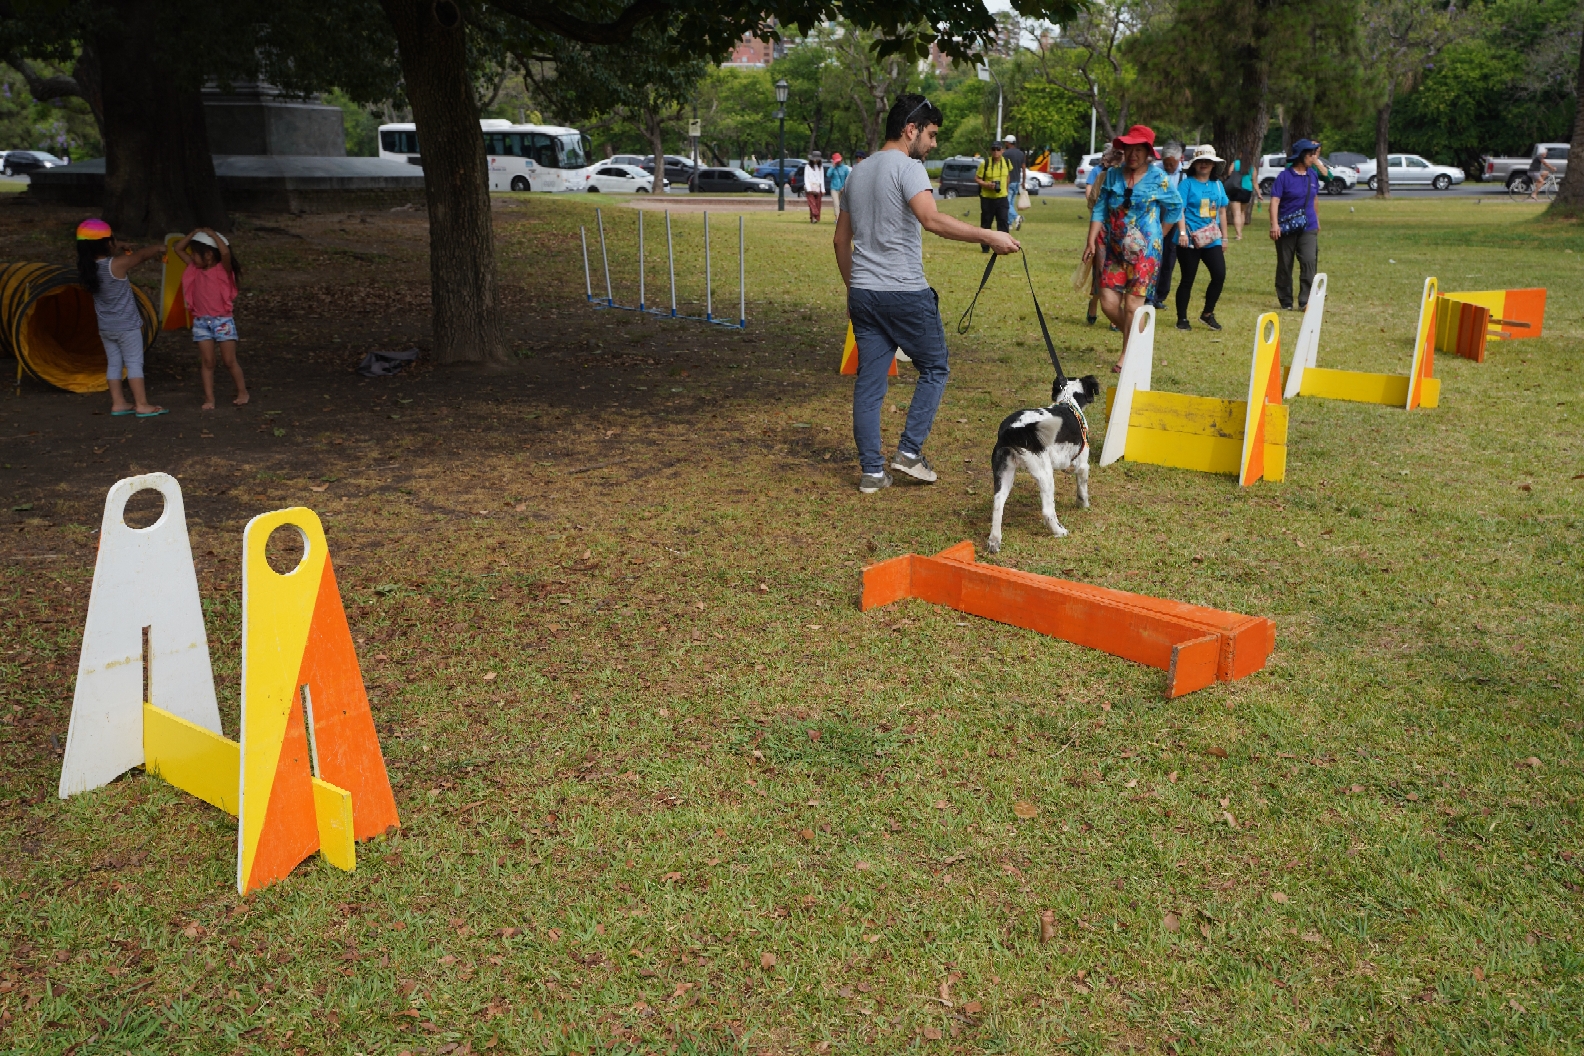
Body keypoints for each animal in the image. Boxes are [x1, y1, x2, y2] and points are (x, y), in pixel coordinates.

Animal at [988, 373, 1102, 554]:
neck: (1068, 401)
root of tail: (1011, 430)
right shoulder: (1082, 465)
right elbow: (1082, 490)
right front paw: (1083, 505)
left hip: (1004, 473)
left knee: (998, 505)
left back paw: (994, 540)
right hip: (1045, 474)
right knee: (1048, 511)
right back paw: (1059, 531)